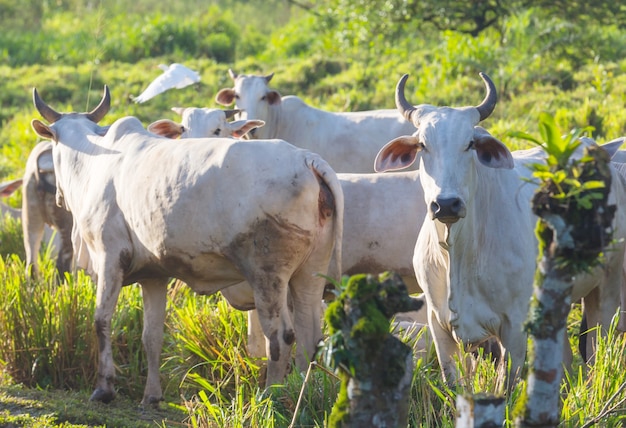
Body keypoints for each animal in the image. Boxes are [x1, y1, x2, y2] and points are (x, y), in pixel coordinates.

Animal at [30, 85, 342, 406]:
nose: (59, 195)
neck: (96, 161)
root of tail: (306, 159)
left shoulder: (109, 258)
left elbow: (101, 321)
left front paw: (104, 389)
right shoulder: (153, 276)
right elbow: (151, 336)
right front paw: (151, 396)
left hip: (267, 275)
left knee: (280, 336)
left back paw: (270, 395)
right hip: (309, 273)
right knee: (309, 335)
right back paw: (301, 390)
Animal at [372, 73, 624, 388]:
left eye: (470, 143)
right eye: (422, 145)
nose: (446, 204)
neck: (458, 254)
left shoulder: (514, 326)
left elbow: (507, 385)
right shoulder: (438, 324)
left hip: (607, 284)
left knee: (596, 349)